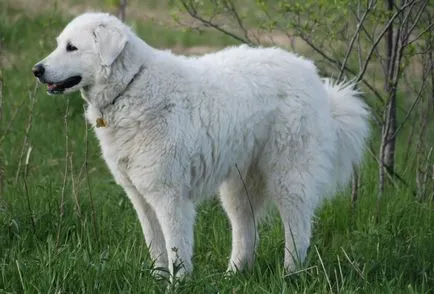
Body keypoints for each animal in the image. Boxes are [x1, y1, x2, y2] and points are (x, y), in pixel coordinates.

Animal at [33, 12, 370, 280]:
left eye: (72, 47)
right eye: (60, 43)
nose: (37, 70)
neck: (131, 85)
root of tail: (313, 77)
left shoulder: (169, 196)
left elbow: (176, 248)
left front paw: (178, 283)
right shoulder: (140, 196)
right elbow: (156, 245)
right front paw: (157, 280)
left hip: (288, 178)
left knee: (297, 230)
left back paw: (289, 275)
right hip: (238, 188)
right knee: (246, 232)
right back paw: (233, 275)